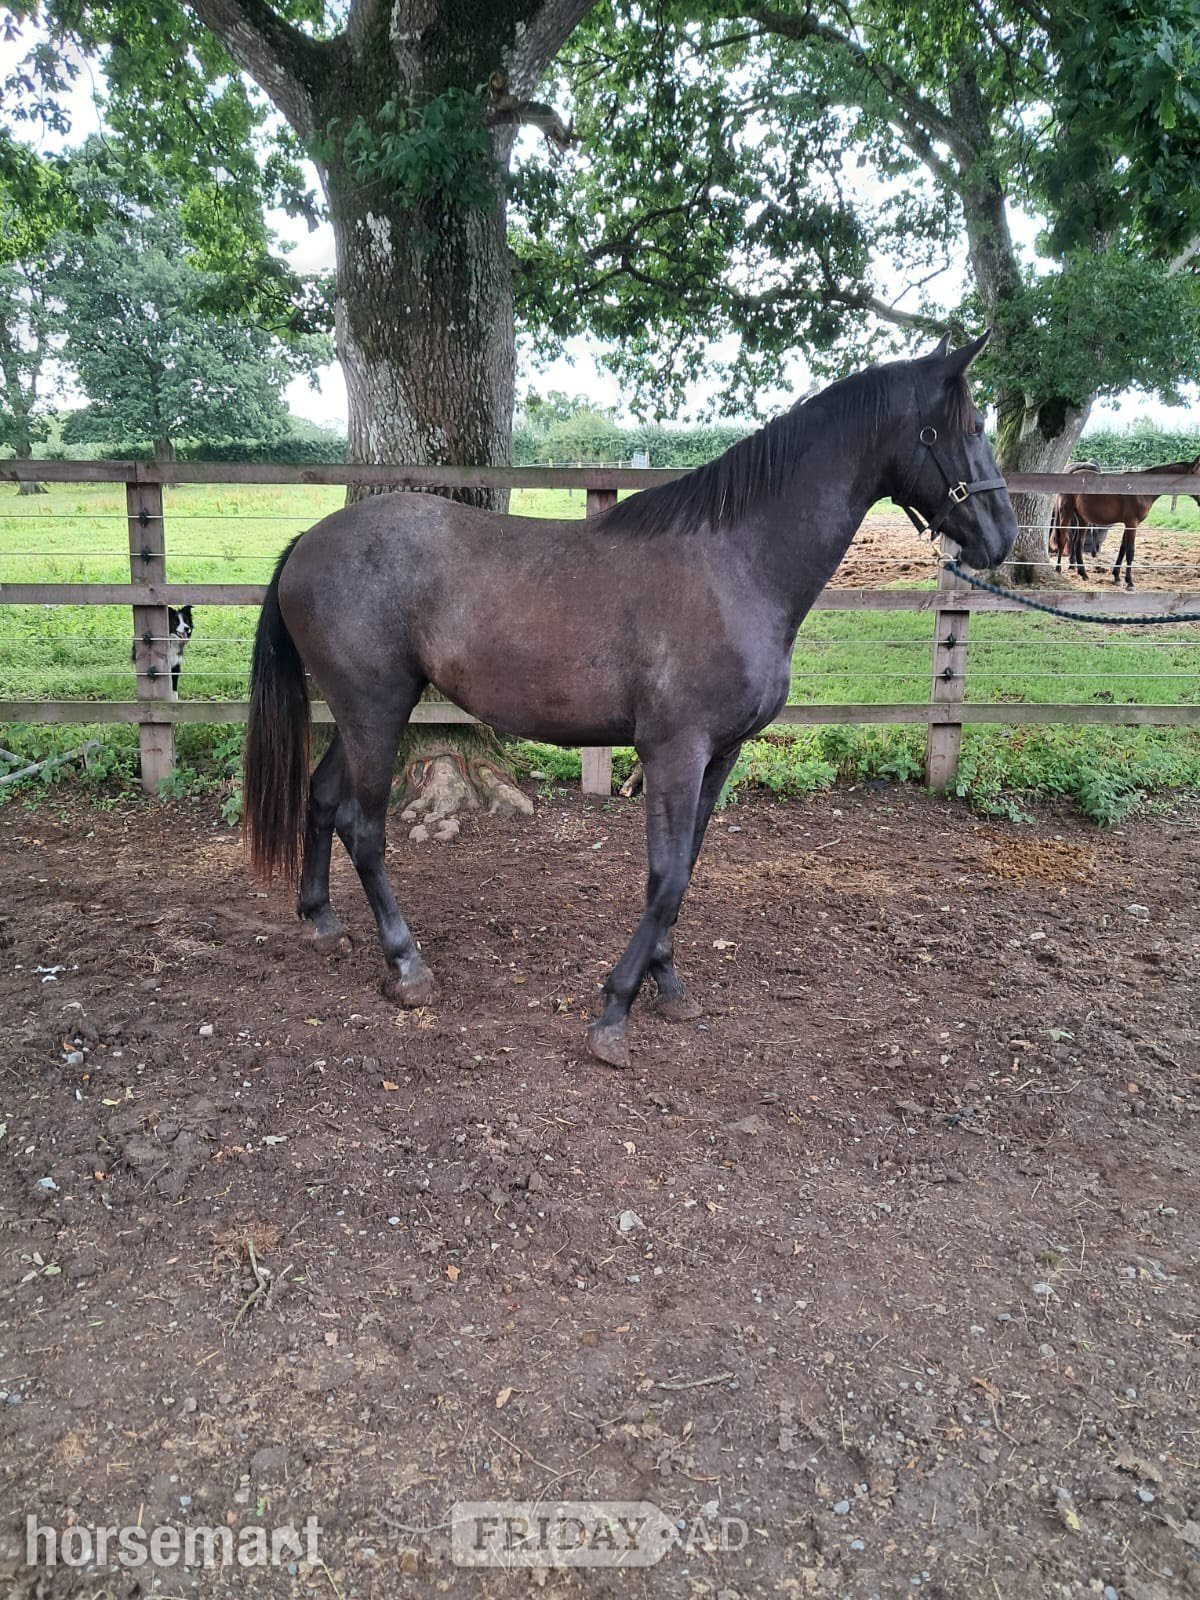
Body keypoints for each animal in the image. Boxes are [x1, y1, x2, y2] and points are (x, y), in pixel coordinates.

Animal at [242, 333, 1017, 1069]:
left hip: (361, 714)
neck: (735, 565)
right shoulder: (674, 752)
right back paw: (407, 968)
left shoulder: (719, 756)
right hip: (376, 710)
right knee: (364, 828)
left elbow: (682, 872)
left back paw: (321, 921)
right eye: (971, 424)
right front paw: (614, 1011)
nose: (1004, 535)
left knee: (322, 798)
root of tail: (308, 542)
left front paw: (667, 986)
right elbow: (666, 877)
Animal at [1051, 455, 1200, 588]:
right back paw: (1058, 569)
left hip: (1082, 518)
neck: (1142, 490)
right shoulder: (1132, 523)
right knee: (1063, 539)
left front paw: (1117, 577)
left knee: (1078, 543)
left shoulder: (1128, 524)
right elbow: (1130, 551)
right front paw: (1130, 582)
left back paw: (1083, 573)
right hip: (1066, 513)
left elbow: (1122, 549)